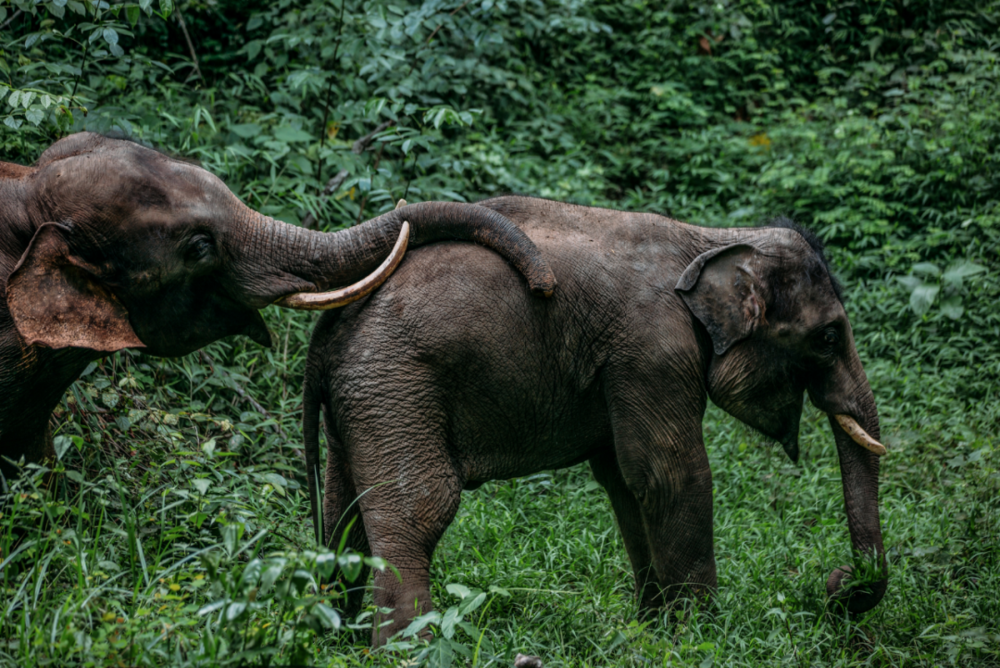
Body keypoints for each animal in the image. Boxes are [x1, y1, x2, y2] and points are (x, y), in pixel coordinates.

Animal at [302, 196, 892, 644]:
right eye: (829, 337)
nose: (838, 582)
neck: (712, 238)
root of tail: (327, 329)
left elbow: (626, 482)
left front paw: (654, 632)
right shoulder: (653, 350)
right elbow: (670, 476)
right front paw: (702, 637)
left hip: (365, 400)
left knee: (344, 514)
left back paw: (343, 640)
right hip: (396, 384)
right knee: (417, 512)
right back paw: (408, 650)